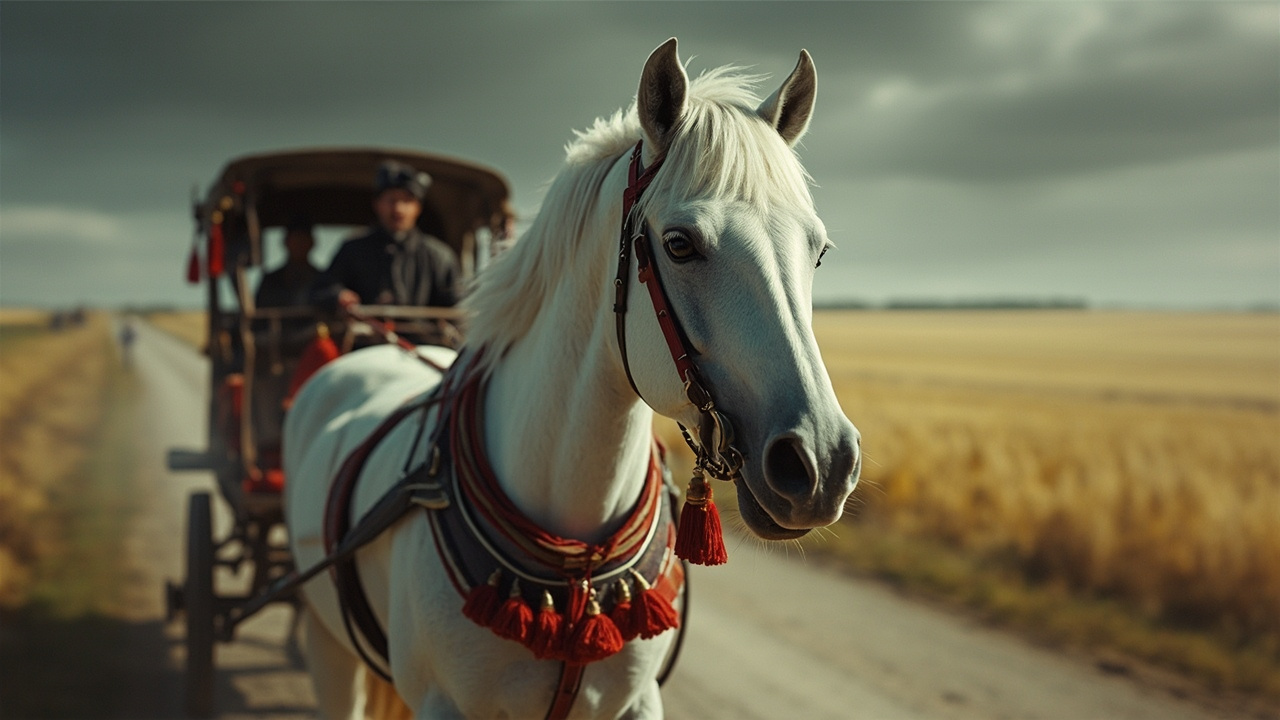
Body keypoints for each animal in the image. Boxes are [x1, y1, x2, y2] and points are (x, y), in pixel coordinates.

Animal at [283, 38, 861, 720]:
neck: (576, 567)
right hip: (328, 644)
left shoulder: (635, 701)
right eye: (679, 244)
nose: (821, 463)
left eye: (817, 251)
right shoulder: (444, 701)